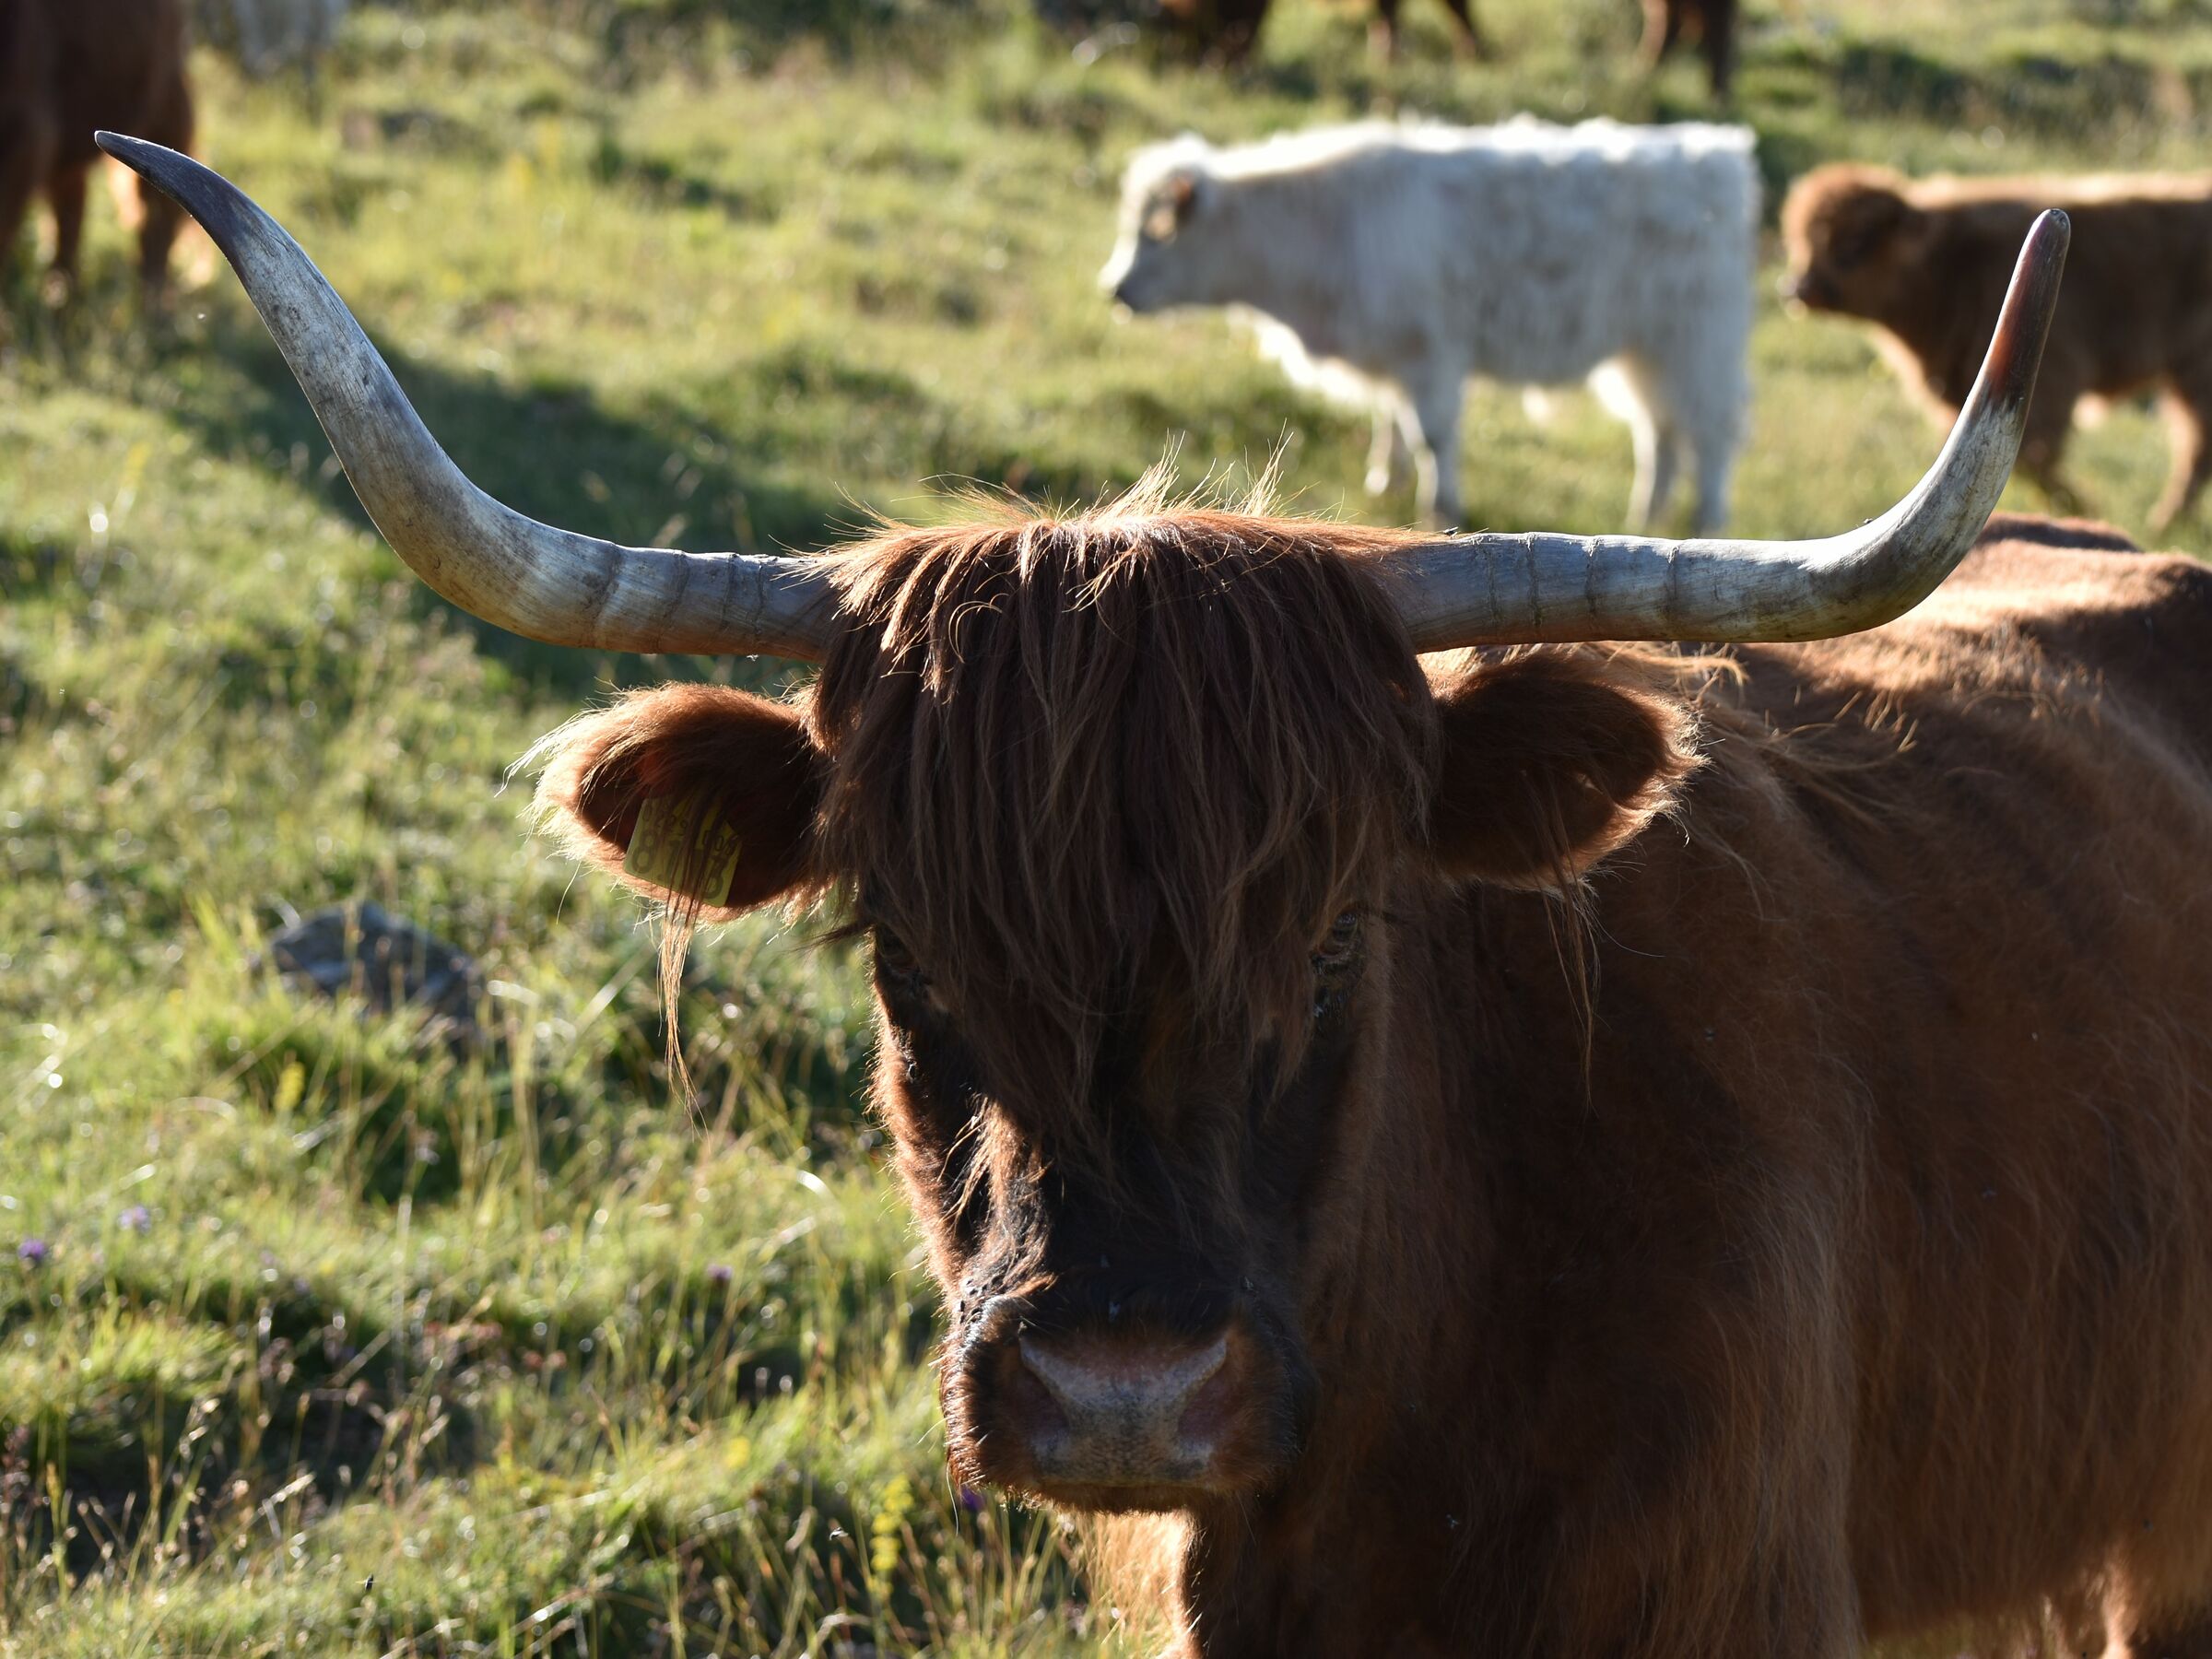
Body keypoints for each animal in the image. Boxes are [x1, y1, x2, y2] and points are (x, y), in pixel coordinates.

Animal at [0, 0, 193, 304]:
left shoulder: (25, 134)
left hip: (164, 97)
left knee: (156, 217)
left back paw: (152, 306)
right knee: (71, 208)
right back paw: (61, 299)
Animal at [1100, 120, 1757, 534]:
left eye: (1159, 231)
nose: (1115, 289)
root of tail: (1717, 151)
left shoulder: (1432, 353)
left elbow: (1432, 437)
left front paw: (1442, 510)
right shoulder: (1393, 352)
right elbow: (1391, 420)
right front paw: (1383, 482)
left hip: (1697, 346)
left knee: (1713, 435)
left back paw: (1706, 524)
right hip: (1643, 354)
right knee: (1660, 435)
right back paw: (1646, 519)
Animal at [1782, 163, 2212, 533]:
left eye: (1856, 242)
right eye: (1800, 241)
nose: (1799, 289)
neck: (1947, 267)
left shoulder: (2050, 378)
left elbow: (2034, 456)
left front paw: (2082, 508)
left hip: (2195, 375)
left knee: (2195, 445)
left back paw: (2165, 521)